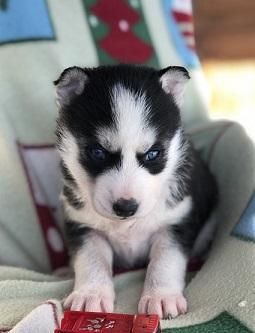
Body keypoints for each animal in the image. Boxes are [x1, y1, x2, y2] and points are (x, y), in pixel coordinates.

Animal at [54, 63, 216, 318]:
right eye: (98, 152)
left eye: (152, 154)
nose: (126, 207)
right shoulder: (83, 225)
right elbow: (91, 259)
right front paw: (91, 294)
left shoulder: (175, 222)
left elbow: (165, 260)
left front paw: (161, 297)